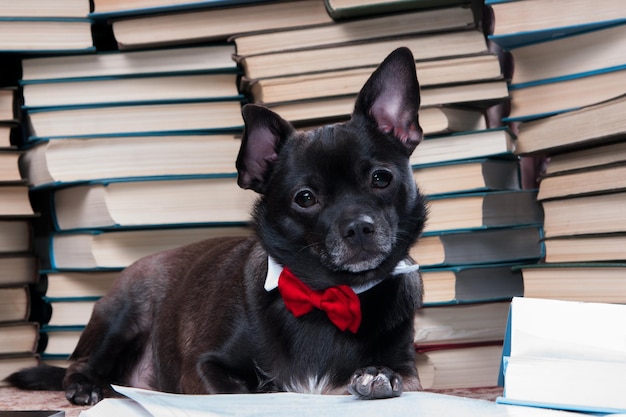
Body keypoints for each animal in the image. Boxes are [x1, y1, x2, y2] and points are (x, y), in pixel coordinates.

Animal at [6, 47, 424, 404]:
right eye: (305, 198)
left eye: (381, 179)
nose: (358, 227)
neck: (327, 293)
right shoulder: (202, 368)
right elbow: (242, 394)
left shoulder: (411, 372)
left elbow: (393, 376)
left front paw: (377, 376)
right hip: (123, 314)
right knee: (77, 365)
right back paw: (86, 386)